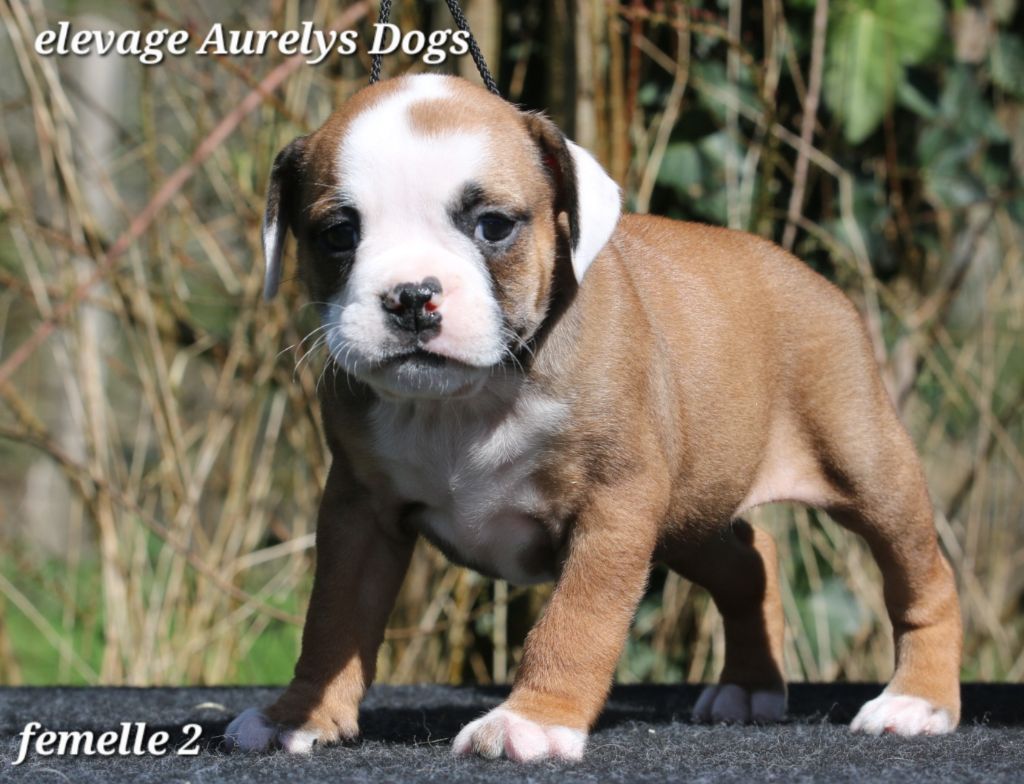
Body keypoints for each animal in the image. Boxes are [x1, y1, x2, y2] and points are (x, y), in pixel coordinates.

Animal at [225, 74, 961, 760]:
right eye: (337, 234)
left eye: (494, 226)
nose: (410, 296)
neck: (467, 399)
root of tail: (811, 278)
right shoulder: (360, 511)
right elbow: (333, 617)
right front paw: (297, 715)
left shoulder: (614, 508)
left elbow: (578, 618)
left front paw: (531, 720)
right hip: (689, 513)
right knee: (752, 560)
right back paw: (750, 688)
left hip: (866, 468)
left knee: (923, 576)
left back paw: (916, 700)